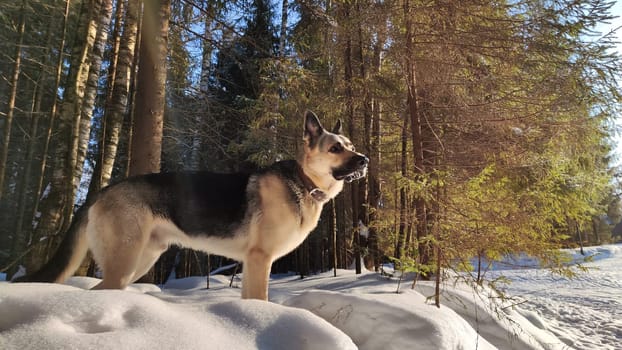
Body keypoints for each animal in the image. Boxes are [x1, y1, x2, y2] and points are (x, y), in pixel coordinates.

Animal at [15, 110, 370, 300]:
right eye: (335, 148)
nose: (365, 160)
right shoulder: (260, 260)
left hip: (141, 260)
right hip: (125, 260)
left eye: (351, 145)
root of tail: (101, 192)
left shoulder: (253, 264)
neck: (304, 182)